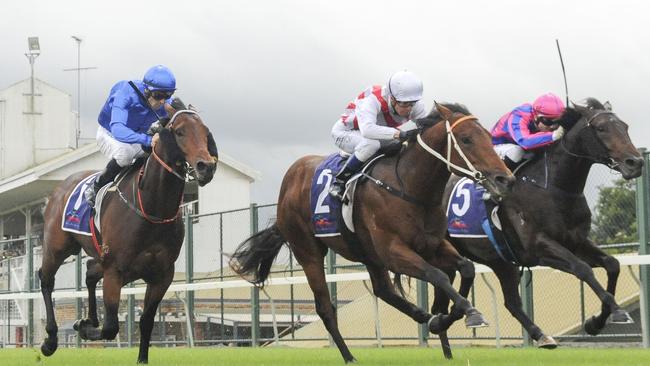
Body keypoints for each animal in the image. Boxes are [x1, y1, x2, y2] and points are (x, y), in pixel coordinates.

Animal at [39, 108, 219, 364]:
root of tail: (58, 189)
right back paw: (51, 340)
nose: (206, 166)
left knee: (90, 272)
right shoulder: (115, 269)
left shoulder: (162, 274)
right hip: (57, 248)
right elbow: (110, 327)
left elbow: (146, 321)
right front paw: (84, 328)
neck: (153, 208)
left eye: (205, 133)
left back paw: (88, 318)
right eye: (180, 131)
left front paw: (141, 358)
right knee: (46, 280)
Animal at [230, 103, 512, 364]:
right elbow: (437, 275)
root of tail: (288, 182)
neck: (408, 187)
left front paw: (448, 316)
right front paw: (467, 314)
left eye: (488, 135)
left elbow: (466, 268)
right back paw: (349, 356)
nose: (504, 179)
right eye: (466, 139)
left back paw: (426, 317)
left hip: (368, 254)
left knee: (383, 290)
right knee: (325, 307)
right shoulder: (392, 251)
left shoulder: (431, 245)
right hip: (308, 251)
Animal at [426, 97, 644, 358]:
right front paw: (618, 313)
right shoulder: (539, 246)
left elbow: (612, 265)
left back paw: (537, 335)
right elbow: (582, 269)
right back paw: (445, 326)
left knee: (509, 303)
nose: (636, 162)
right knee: (441, 299)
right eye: (601, 128)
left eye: (625, 126)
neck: (555, 188)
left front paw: (596, 322)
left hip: (499, 260)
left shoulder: (577, 242)